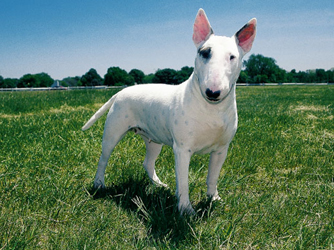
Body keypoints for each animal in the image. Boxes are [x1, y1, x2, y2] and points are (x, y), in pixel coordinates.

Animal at [83, 8, 256, 214]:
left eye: (232, 57)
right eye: (204, 53)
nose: (212, 92)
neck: (211, 110)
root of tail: (121, 91)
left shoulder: (221, 150)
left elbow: (212, 177)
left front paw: (213, 198)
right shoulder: (182, 150)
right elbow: (183, 182)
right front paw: (185, 210)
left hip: (153, 139)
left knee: (148, 162)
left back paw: (159, 184)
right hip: (113, 132)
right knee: (103, 159)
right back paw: (99, 184)